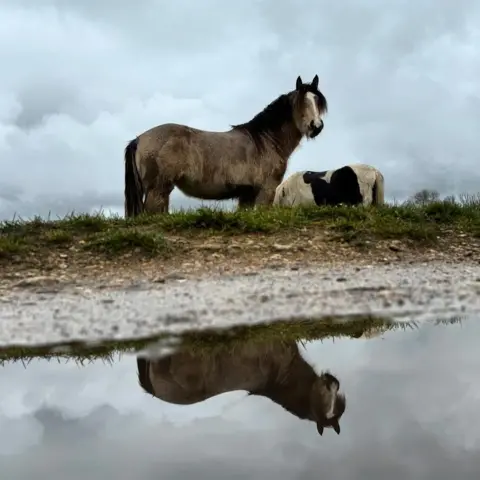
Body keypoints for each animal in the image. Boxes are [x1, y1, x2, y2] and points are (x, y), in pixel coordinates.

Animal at [124, 74, 328, 217]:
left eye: (317, 101)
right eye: (301, 102)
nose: (316, 126)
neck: (265, 141)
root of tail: (139, 139)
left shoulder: (247, 195)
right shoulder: (266, 191)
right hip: (158, 189)